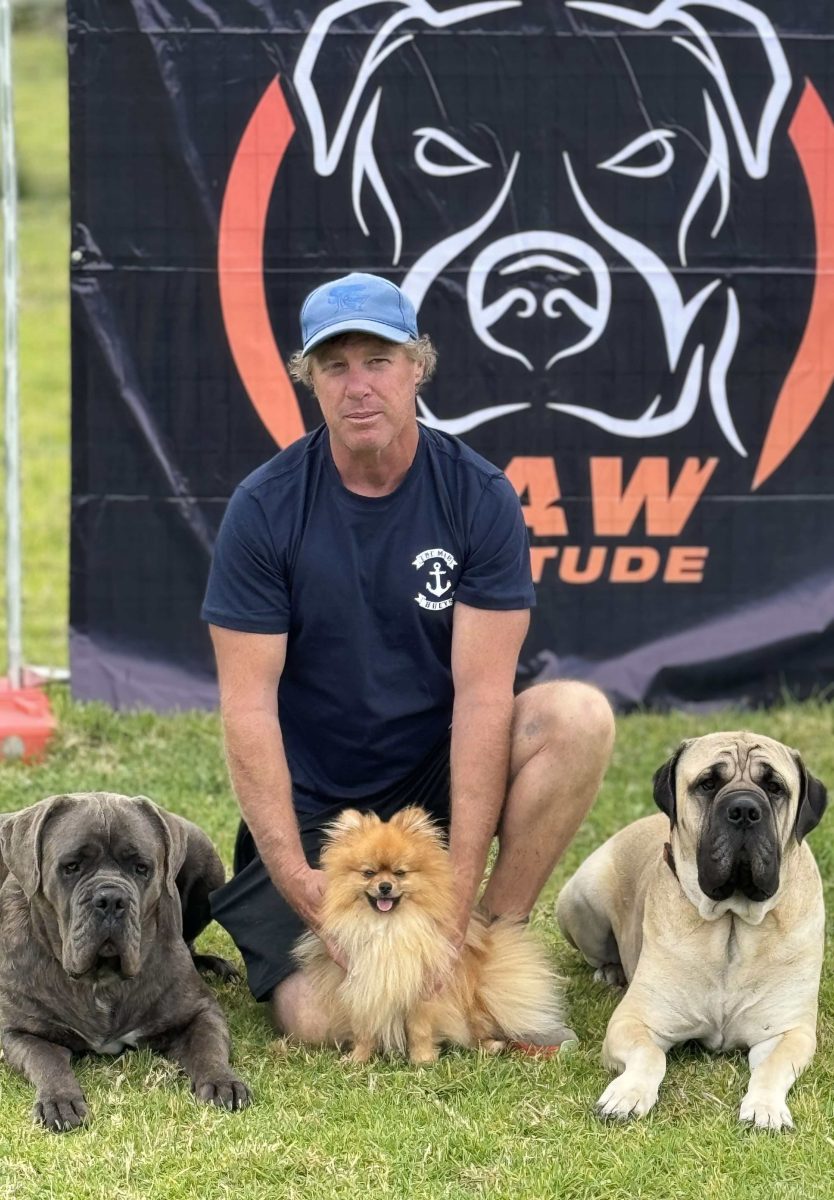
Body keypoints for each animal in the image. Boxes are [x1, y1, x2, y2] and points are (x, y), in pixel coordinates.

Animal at [0, 792, 250, 1128]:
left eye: (142, 867)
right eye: (71, 866)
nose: (111, 899)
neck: (101, 979)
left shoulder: (200, 1011)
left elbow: (208, 1046)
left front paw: (223, 1081)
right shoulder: (20, 1031)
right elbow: (46, 1060)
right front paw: (60, 1100)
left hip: (205, 857)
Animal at [294, 806, 573, 1060]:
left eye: (400, 873)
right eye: (368, 873)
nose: (384, 886)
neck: (389, 927)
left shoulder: (424, 990)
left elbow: (419, 1030)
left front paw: (422, 1061)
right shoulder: (363, 989)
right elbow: (364, 1031)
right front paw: (357, 1060)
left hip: (474, 1003)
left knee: (479, 1030)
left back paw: (489, 1046)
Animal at [556, 729, 825, 1132]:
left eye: (775, 787)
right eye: (708, 783)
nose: (744, 810)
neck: (732, 924)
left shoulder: (787, 1031)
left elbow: (772, 1068)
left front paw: (765, 1107)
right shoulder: (634, 1020)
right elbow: (649, 1056)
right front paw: (628, 1093)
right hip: (578, 899)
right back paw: (611, 971)